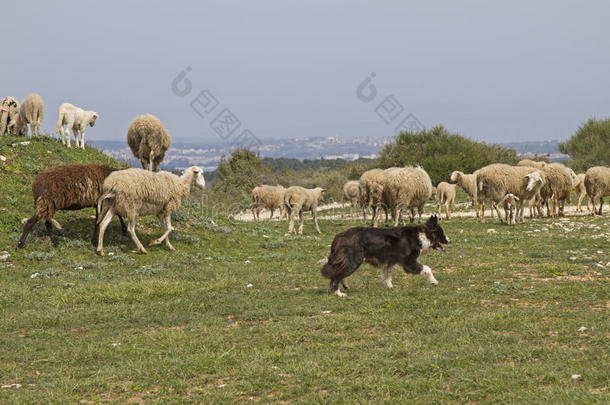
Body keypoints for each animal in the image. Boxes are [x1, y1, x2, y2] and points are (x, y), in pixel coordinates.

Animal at [320, 215, 448, 296]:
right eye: (442, 233)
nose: (449, 240)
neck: (422, 235)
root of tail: (339, 236)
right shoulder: (409, 262)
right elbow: (427, 268)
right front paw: (434, 281)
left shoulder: (389, 262)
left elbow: (387, 275)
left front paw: (390, 287)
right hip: (354, 261)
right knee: (336, 276)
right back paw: (338, 293)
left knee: (339, 273)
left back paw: (345, 286)